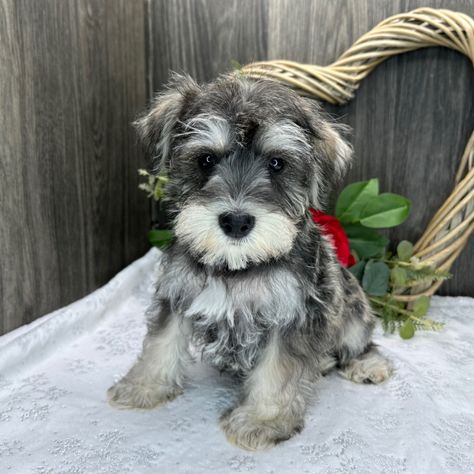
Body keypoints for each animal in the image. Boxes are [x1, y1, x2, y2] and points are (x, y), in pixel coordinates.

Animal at [108, 74, 392, 452]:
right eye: (206, 159)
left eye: (277, 163)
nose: (236, 222)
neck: (237, 265)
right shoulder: (177, 293)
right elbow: (161, 342)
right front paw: (141, 387)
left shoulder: (292, 315)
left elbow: (277, 373)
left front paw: (262, 421)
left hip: (354, 312)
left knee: (361, 342)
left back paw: (366, 365)